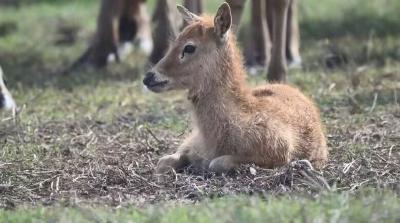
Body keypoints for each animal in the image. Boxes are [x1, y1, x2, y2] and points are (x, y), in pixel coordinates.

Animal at [144, 3, 328, 174]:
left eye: (189, 47)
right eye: (174, 41)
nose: (149, 77)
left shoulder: (278, 152)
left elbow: (216, 163)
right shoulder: (191, 141)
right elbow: (163, 162)